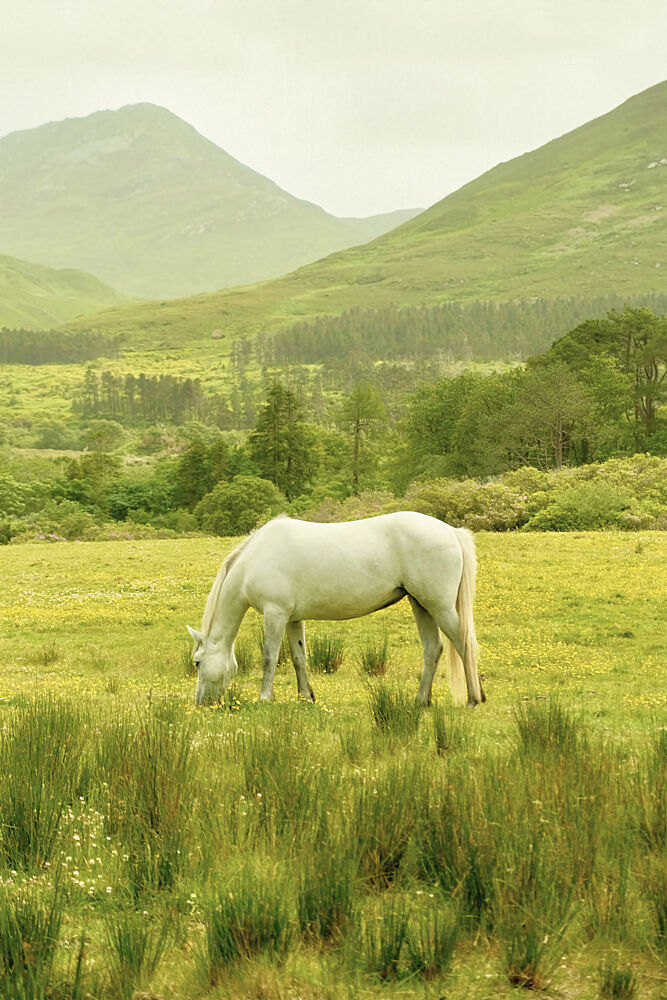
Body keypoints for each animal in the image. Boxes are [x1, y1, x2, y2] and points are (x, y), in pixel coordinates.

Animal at [187, 511, 485, 708]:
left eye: (198, 662)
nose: (201, 702)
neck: (255, 560)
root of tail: (451, 532)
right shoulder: (292, 619)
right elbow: (299, 658)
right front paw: (305, 697)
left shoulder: (275, 614)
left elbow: (269, 658)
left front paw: (265, 698)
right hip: (421, 605)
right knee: (433, 649)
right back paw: (421, 700)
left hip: (440, 607)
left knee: (464, 644)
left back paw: (473, 699)